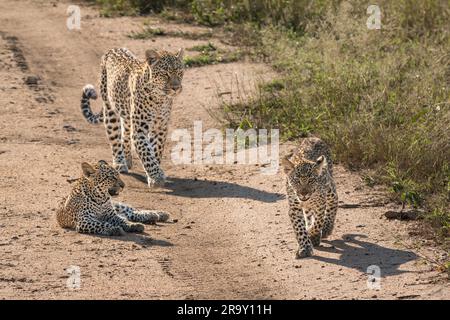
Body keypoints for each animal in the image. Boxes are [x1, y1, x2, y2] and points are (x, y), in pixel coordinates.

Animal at [81, 47, 185, 188]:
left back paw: (128, 158)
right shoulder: (139, 130)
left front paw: (152, 175)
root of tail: (112, 49)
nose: (176, 88)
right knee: (115, 138)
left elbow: (155, 150)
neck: (159, 98)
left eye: (180, 72)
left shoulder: (160, 127)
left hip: (127, 114)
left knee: (125, 133)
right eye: (165, 74)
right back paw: (120, 163)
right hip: (109, 109)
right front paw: (156, 177)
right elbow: (146, 152)